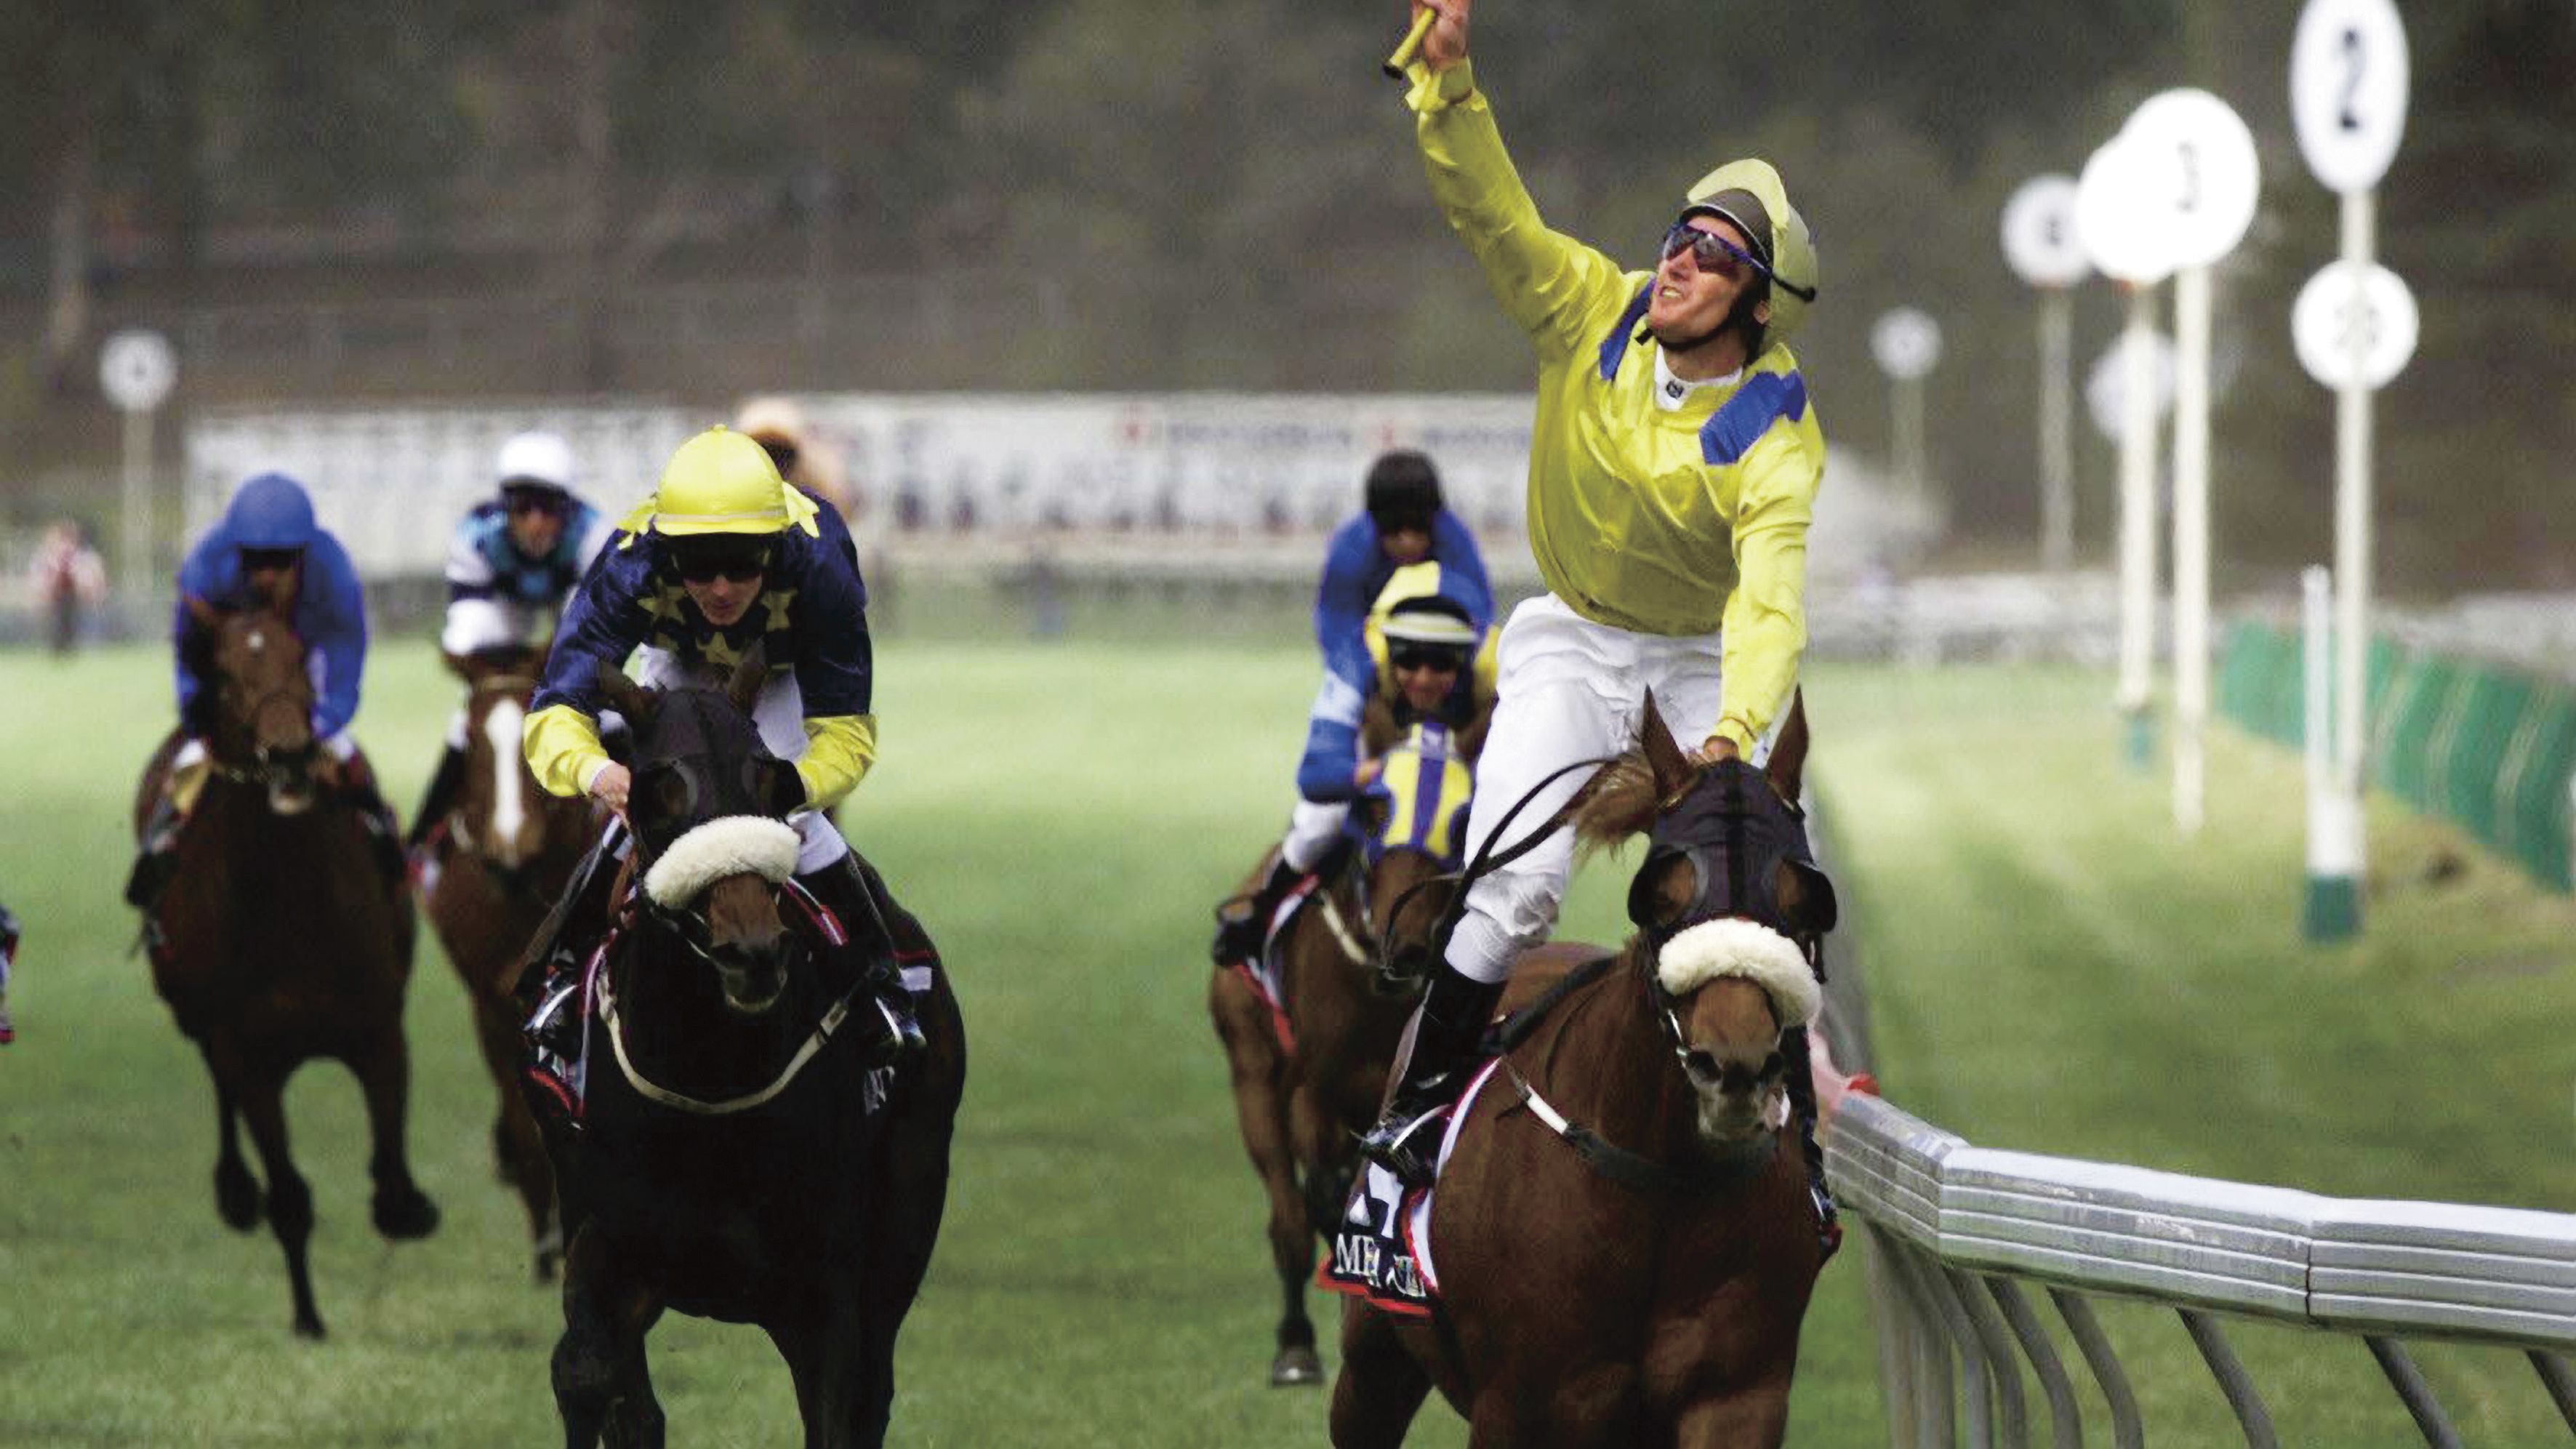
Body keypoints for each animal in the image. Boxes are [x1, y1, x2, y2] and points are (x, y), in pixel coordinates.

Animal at [129, 597, 438, 1338]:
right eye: (225, 674)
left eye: (301, 656)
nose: (290, 752)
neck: (292, 906)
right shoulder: (249, 1055)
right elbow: (289, 1192)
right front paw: (307, 1317)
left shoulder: (378, 1031)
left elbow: (389, 1175)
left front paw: (408, 1207)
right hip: (194, 1016)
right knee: (217, 1086)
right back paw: (236, 1191)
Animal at [533, 659, 968, 1449]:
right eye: (657, 792)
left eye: (770, 782)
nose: (753, 952)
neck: (708, 1075)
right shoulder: (608, 1239)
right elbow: (586, 1374)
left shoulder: (823, 1290)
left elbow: (841, 1407)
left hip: (912, 1199)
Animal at [1216, 710, 1483, 1389]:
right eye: (1372, 809)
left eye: (1463, 818)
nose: (1407, 944)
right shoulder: (1314, 1091)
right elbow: (1322, 1193)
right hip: (1251, 1074)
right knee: (1288, 1214)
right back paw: (1295, 1343)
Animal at [1329, 694, 1834, 1441]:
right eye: (1662, 894)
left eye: (1802, 902)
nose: (1732, 1064)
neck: (1663, 1185)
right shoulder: (1516, 1403)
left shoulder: (1738, 1395)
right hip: (1372, 1355)